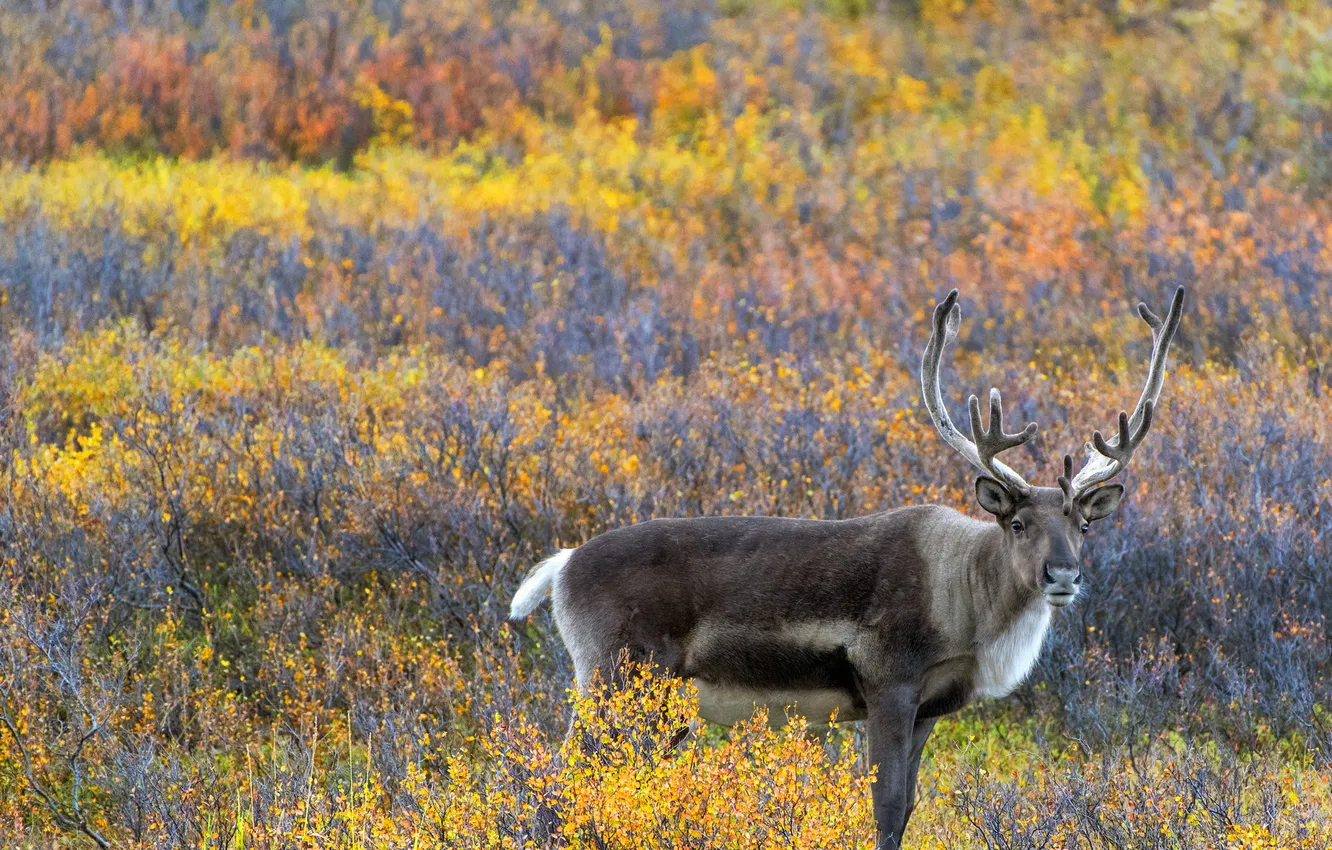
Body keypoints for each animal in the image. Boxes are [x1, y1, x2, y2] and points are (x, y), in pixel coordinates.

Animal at [509, 286, 1185, 849]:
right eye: (1017, 523)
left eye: (1083, 525)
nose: (1062, 577)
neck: (966, 603)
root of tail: (561, 565)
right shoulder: (888, 685)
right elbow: (883, 809)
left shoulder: (928, 708)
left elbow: (907, 808)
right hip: (613, 680)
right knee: (558, 785)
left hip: (657, 705)